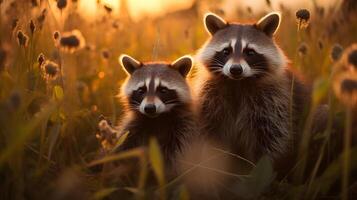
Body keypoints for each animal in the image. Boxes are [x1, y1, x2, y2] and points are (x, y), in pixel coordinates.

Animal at [192, 11, 312, 163]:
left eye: (250, 52)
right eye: (226, 51)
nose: (235, 69)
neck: (238, 83)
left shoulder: (274, 103)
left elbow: (271, 139)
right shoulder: (210, 98)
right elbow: (210, 133)